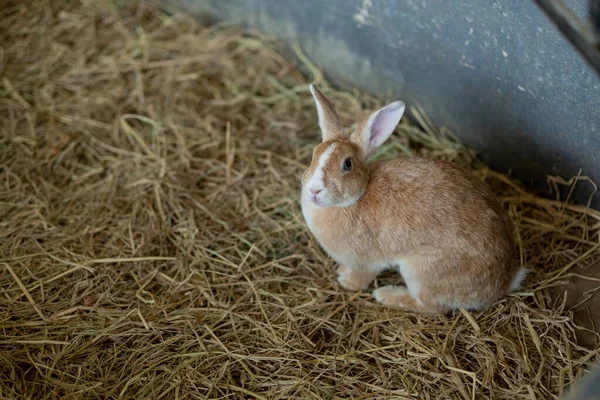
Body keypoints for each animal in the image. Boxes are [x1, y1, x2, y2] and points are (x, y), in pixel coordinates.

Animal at [298, 85, 524, 316]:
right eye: (314, 155)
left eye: (347, 164)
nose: (314, 189)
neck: (356, 199)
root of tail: (505, 281)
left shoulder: (364, 262)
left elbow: (361, 280)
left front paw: (345, 280)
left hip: (421, 273)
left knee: (431, 306)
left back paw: (387, 295)